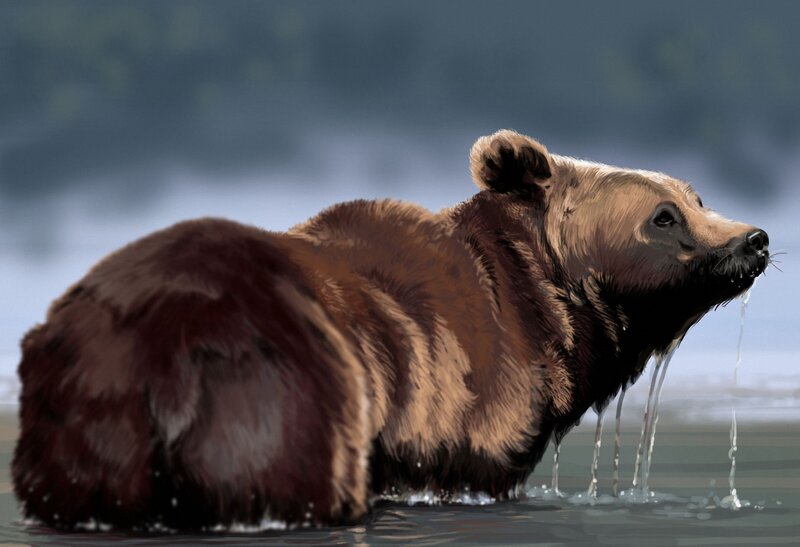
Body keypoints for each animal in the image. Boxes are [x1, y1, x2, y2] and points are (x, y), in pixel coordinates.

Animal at [12, 130, 769, 530]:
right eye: (664, 216)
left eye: (697, 196)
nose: (755, 238)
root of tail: (159, 356)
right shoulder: (457, 414)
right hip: (282, 395)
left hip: (82, 420)